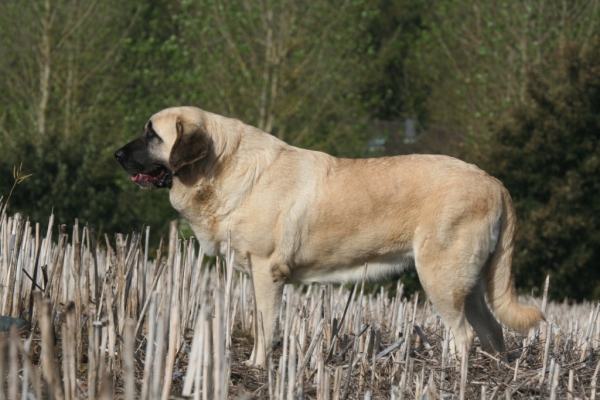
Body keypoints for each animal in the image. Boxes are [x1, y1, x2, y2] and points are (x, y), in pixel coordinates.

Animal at [113, 106, 544, 366]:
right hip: (468, 284)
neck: (219, 168)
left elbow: (266, 324)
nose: (117, 155)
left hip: (441, 278)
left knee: (464, 335)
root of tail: (495, 183)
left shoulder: (267, 273)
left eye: (152, 135)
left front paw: (257, 365)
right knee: (492, 330)